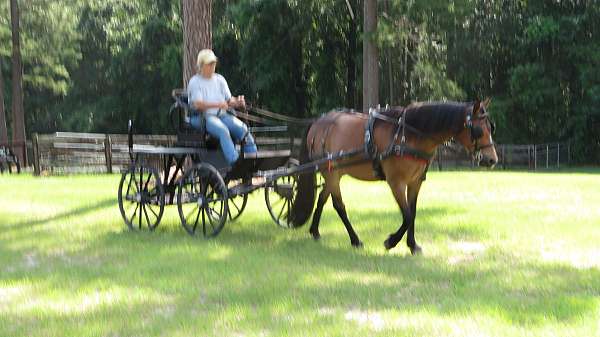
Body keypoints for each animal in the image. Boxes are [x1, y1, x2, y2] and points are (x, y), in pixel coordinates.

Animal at [290, 98, 496, 253]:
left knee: (322, 198)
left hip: (335, 173)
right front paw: (391, 241)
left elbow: (413, 212)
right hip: (331, 173)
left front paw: (412, 245)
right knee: (338, 205)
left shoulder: (415, 182)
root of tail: (318, 122)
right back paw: (355, 240)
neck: (409, 135)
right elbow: (407, 215)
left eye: (490, 127)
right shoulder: (396, 182)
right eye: (479, 130)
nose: (492, 159)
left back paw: (315, 231)